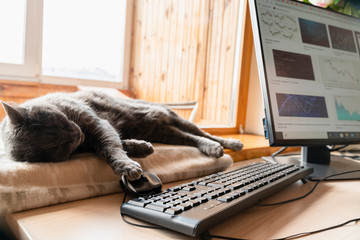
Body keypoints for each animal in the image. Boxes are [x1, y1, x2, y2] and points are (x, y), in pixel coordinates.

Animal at [0, 90, 243, 180]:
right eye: (58, 148)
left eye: (58, 121)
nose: (76, 133)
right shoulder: (91, 139)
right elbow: (113, 144)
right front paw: (141, 148)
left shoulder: (97, 123)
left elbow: (111, 145)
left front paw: (127, 165)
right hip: (165, 131)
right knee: (191, 139)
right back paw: (208, 147)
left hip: (171, 116)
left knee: (203, 133)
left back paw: (226, 144)